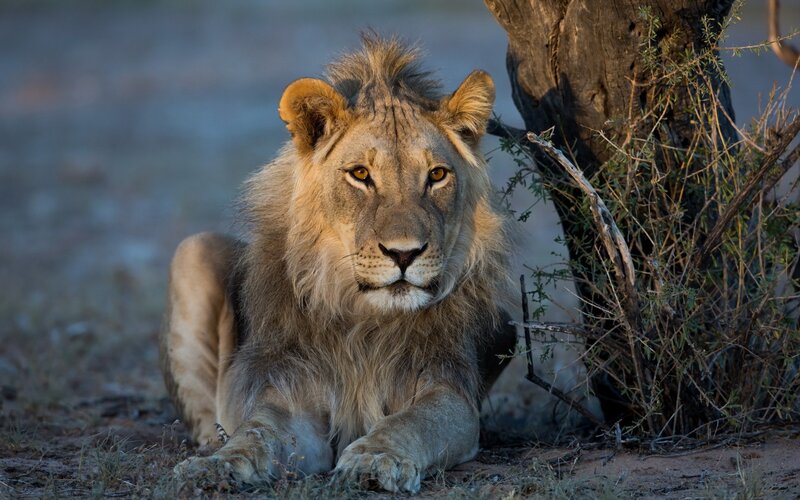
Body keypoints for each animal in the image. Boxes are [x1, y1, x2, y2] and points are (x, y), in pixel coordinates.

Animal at [160, 34, 516, 493]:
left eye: (437, 175)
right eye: (360, 174)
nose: (404, 253)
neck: (363, 320)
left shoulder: (449, 390)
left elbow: (412, 422)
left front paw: (375, 458)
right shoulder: (292, 393)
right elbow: (257, 431)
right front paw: (218, 465)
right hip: (193, 249)